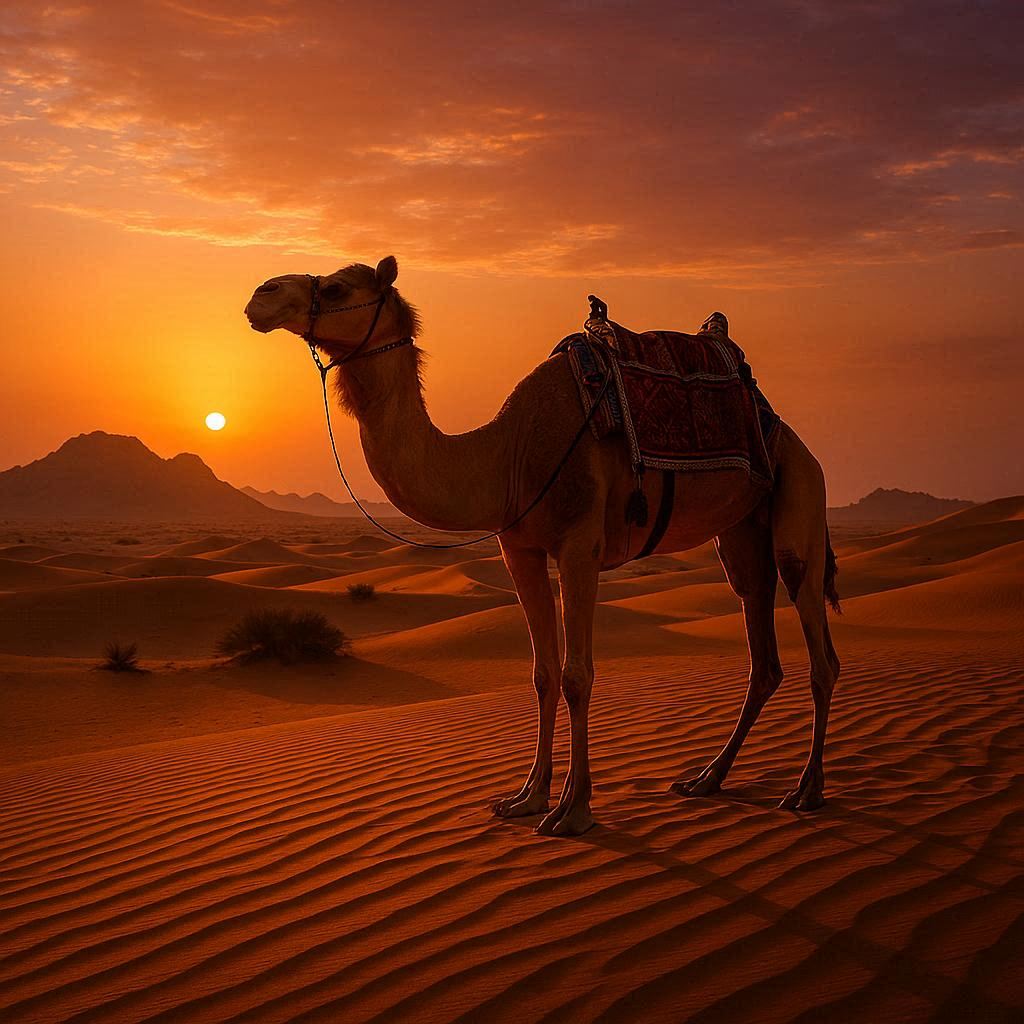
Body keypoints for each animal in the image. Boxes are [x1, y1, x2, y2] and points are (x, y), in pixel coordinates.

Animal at [245, 257, 841, 837]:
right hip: (740, 533)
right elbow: (542, 674)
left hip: (801, 493)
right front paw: (526, 798)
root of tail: (786, 430)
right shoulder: (519, 550)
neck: (507, 453)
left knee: (819, 647)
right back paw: (705, 779)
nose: (260, 294)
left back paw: (806, 790)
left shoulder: (579, 544)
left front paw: (572, 811)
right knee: (761, 645)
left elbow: (578, 676)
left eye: (338, 289)